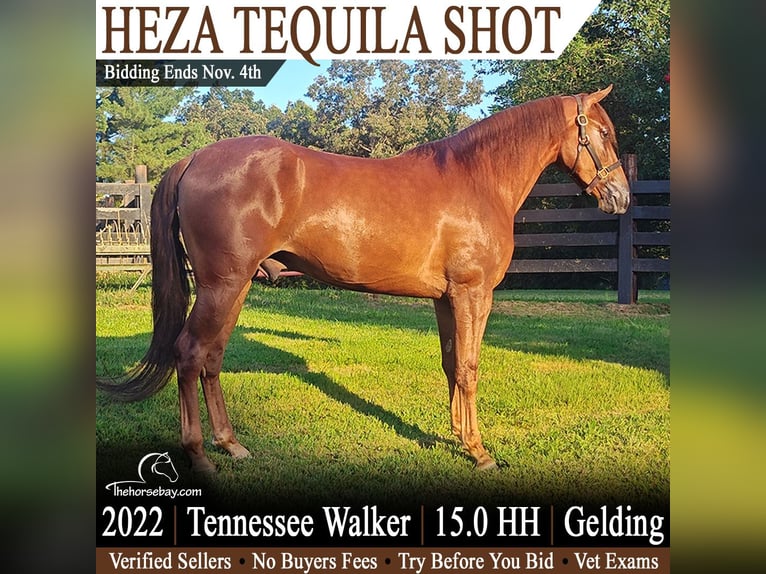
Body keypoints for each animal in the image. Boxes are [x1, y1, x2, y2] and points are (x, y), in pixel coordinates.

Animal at [97, 85, 630, 473]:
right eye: (603, 132)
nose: (621, 197)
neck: (478, 179)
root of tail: (194, 159)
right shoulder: (472, 293)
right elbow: (470, 368)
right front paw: (479, 451)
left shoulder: (445, 298)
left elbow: (450, 364)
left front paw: (458, 437)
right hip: (221, 286)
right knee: (190, 354)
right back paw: (201, 456)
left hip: (236, 287)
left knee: (212, 357)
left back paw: (231, 444)